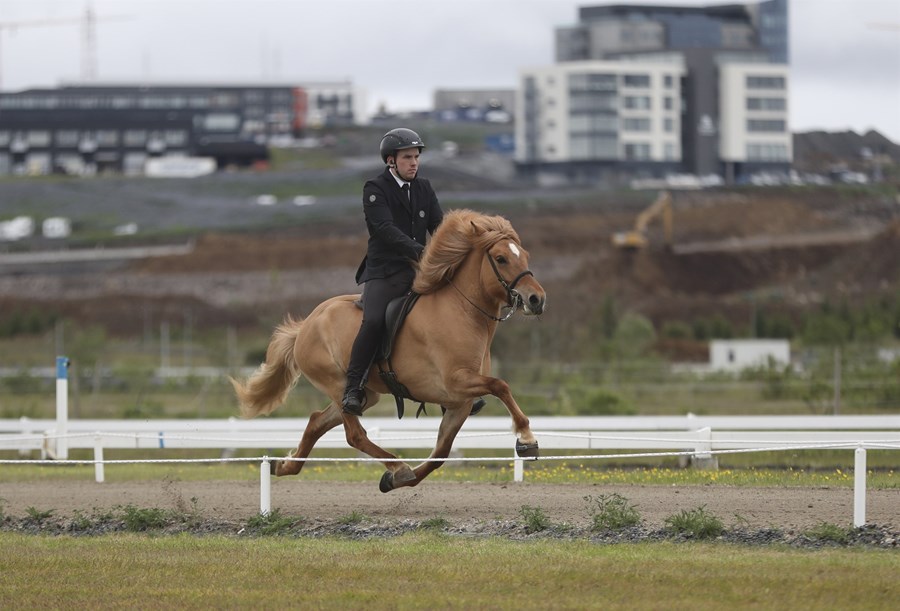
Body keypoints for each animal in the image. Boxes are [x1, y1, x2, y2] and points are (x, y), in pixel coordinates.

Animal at [229, 208, 544, 494]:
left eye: (525, 255)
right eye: (501, 259)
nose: (536, 300)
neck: (462, 311)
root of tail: (307, 323)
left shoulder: (459, 402)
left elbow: (440, 453)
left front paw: (393, 482)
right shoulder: (455, 382)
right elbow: (500, 385)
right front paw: (527, 438)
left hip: (365, 394)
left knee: (317, 421)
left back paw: (285, 465)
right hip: (338, 385)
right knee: (354, 435)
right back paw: (397, 466)